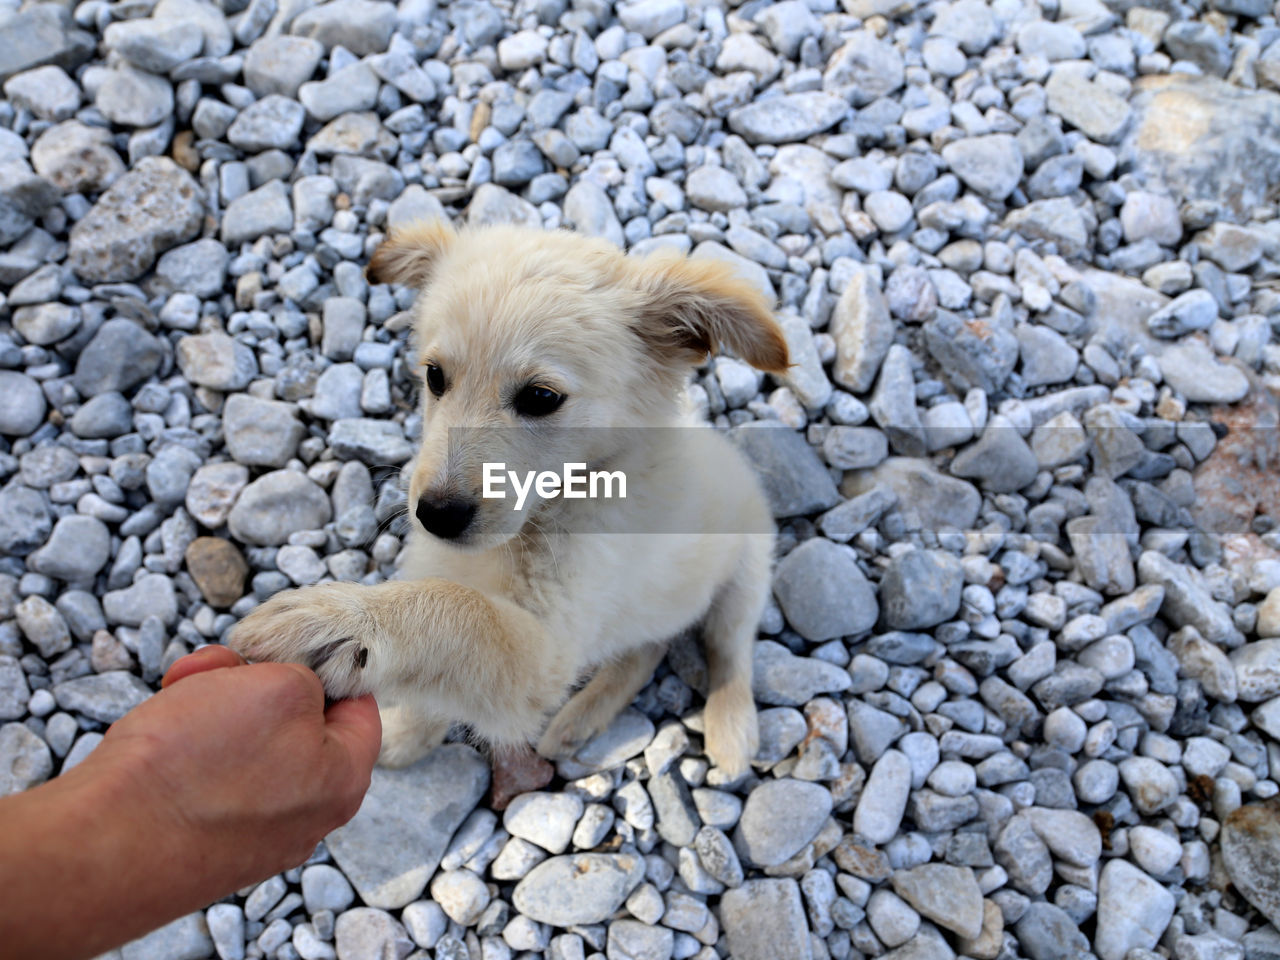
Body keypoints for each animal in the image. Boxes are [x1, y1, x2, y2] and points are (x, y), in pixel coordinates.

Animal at [230, 225, 788, 783]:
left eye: (541, 397)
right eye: (435, 377)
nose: (436, 515)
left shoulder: (547, 650)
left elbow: (463, 611)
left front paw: (340, 622)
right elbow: (440, 679)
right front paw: (404, 735)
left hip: (747, 570)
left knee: (729, 648)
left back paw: (730, 729)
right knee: (648, 645)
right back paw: (579, 722)